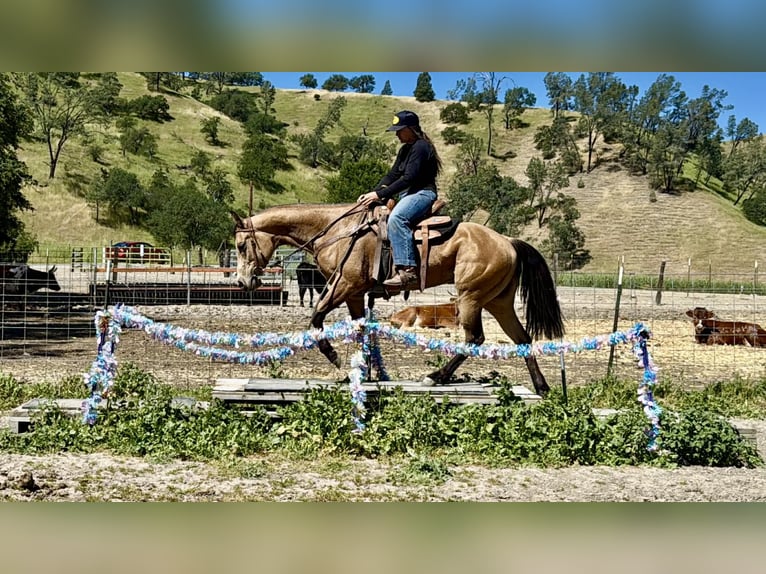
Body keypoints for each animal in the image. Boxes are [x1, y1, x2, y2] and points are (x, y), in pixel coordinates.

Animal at [231, 203, 564, 395]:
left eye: (241, 245)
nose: (243, 282)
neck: (340, 231)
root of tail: (507, 241)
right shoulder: (355, 294)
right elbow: (361, 329)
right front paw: (366, 370)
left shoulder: (344, 285)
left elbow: (316, 317)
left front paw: (335, 356)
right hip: (498, 302)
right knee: (522, 338)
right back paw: (542, 387)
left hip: (471, 297)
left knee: (475, 339)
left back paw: (436, 377)